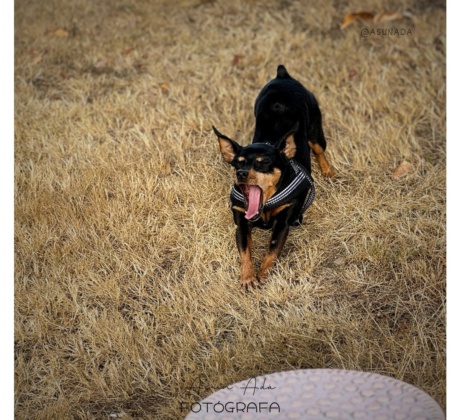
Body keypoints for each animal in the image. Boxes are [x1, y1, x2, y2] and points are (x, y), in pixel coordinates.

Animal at [214, 65, 332, 288]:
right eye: (237, 163)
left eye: (263, 162)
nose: (241, 174)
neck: (265, 205)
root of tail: (283, 75)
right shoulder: (241, 224)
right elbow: (245, 252)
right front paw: (248, 278)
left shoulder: (282, 224)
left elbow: (272, 251)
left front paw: (262, 276)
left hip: (315, 127)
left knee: (319, 149)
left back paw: (328, 171)